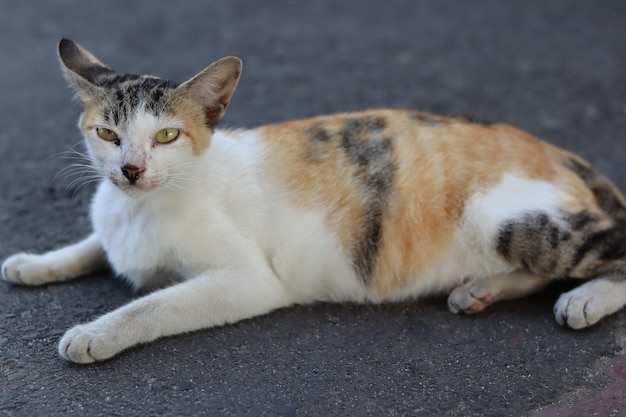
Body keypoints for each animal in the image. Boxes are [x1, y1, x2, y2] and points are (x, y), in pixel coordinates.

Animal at [1, 39, 624, 364]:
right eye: (107, 134)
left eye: (167, 136)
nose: (130, 169)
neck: (143, 208)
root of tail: (554, 149)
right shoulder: (111, 223)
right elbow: (90, 245)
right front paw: (34, 263)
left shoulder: (249, 281)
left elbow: (152, 305)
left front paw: (94, 333)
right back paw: (481, 289)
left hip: (509, 219)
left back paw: (585, 299)